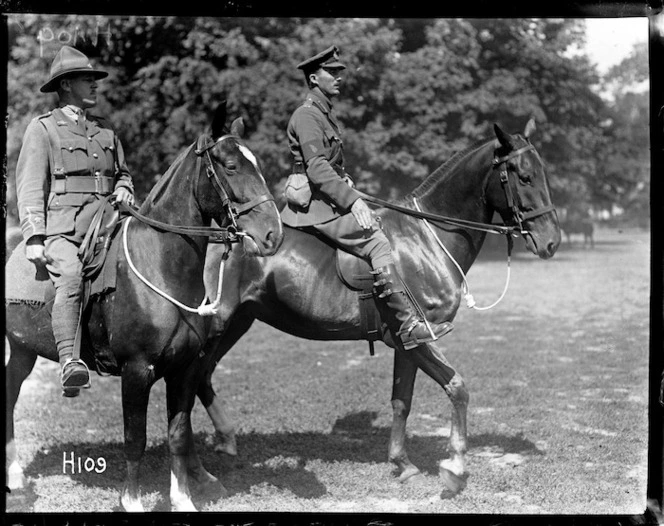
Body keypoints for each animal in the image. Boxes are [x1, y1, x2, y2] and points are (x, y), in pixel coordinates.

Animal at [5, 105, 286, 512]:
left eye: (258, 164)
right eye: (231, 166)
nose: (272, 235)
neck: (162, 267)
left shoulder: (184, 369)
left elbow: (179, 433)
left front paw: (183, 499)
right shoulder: (136, 372)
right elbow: (134, 438)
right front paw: (133, 501)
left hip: (23, 350)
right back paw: (14, 474)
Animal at [197, 118, 560, 500]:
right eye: (524, 176)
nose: (551, 241)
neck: (426, 239)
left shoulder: (407, 343)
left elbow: (402, 401)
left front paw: (403, 464)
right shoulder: (418, 338)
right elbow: (457, 388)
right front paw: (456, 467)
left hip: (238, 322)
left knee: (203, 376)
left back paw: (225, 441)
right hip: (217, 324)